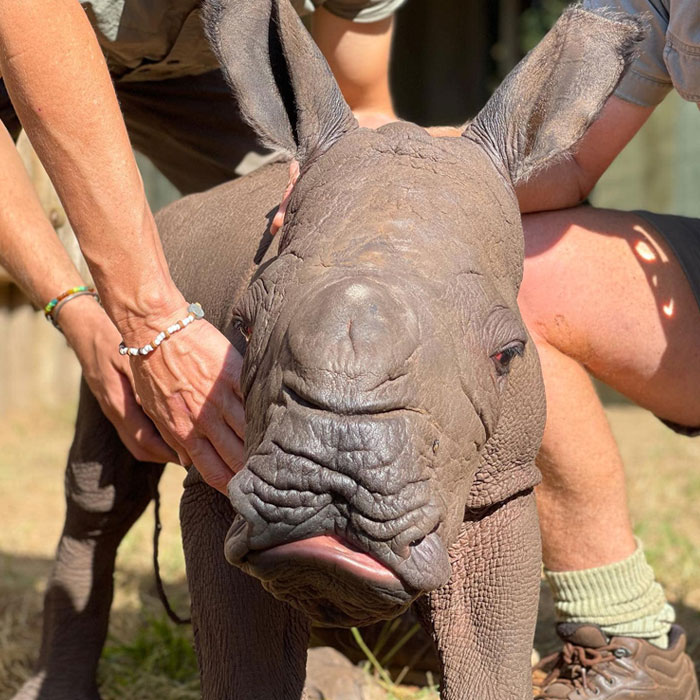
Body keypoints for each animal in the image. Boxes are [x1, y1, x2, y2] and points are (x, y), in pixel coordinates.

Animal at [15, 1, 640, 700]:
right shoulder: (218, 476)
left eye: (507, 354)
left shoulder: (500, 487)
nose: (337, 471)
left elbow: (489, 657)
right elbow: (244, 664)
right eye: (244, 325)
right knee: (103, 492)